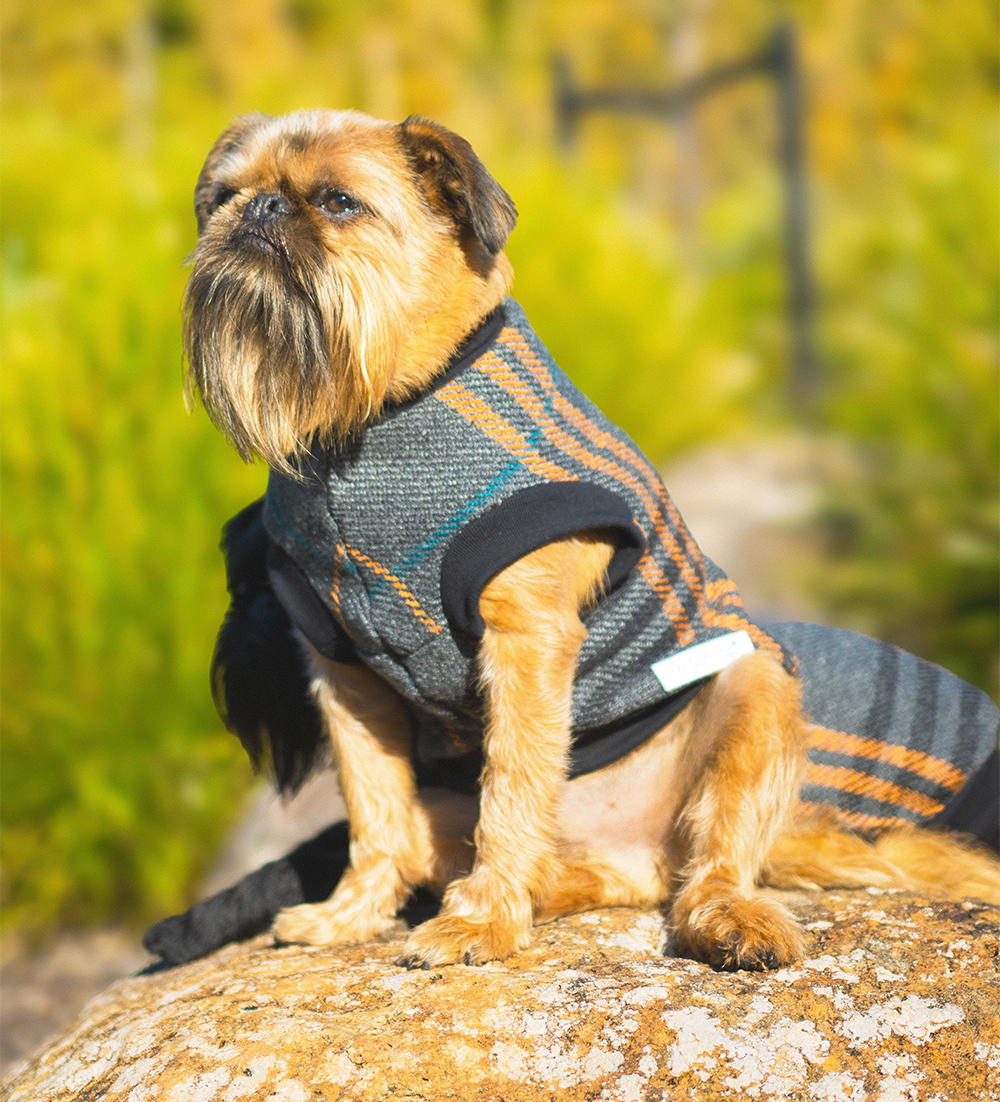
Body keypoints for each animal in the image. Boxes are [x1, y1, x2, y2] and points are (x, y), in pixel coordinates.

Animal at [154, 109, 1000, 974]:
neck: (372, 423)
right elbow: (373, 807)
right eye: (225, 196)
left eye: (337, 201)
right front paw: (350, 914)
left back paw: (720, 918)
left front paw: (482, 922)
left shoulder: (526, 639)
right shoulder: (344, 673)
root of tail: (645, 852)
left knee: (715, 860)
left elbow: (514, 787)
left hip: (755, 690)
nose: (257, 210)